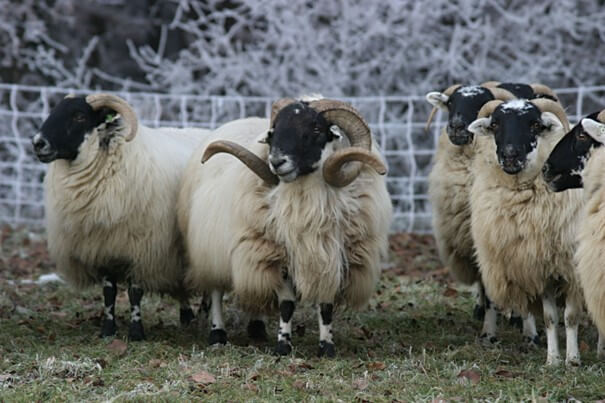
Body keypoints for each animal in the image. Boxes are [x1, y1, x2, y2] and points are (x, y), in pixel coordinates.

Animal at [31, 94, 206, 340]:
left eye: (79, 116)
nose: (38, 143)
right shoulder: (102, 247)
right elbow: (109, 292)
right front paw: (107, 330)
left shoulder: (140, 248)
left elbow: (134, 292)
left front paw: (136, 333)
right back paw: (187, 318)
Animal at [464, 98, 584, 366]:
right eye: (495, 124)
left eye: (535, 125)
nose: (510, 155)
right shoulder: (542, 269)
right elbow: (550, 318)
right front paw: (552, 360)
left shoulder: (571, 270)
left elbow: (571, 317)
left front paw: (573, 360)